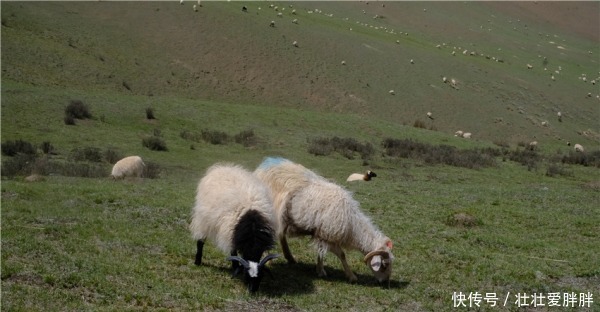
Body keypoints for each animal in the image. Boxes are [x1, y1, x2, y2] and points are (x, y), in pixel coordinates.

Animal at [190, 165, 278, 294]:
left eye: (261, 276)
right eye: (247, 276)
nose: (253, 291)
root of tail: (220, 168)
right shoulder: (229, 232)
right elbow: (233, 252)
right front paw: (235, 267)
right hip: (203, 219)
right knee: (200, 241)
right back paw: (197, 262)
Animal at [253, 158, 394, 286]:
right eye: (384, 265)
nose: (385, 282)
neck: (352, 225)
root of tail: (263, 166)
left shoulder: (321, 234)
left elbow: (320, 252)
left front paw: (320, 269)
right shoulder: (327, 235)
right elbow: (342, 255)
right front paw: (351, 276)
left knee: (281, 235)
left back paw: (290, 257)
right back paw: (269, 260)